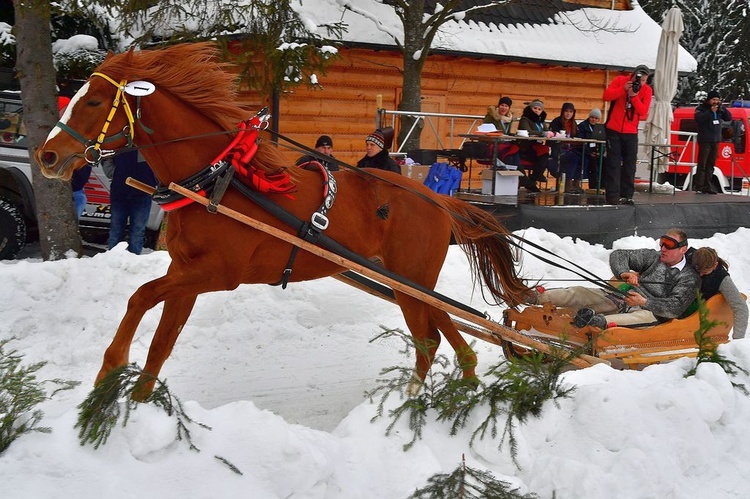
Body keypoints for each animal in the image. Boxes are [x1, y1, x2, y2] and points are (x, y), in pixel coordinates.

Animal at [33, 44, 528, 402]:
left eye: (95, 101)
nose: (47, 156)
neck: (219, 179)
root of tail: (437, 199)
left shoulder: (218, 274)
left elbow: (139, 296)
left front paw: (109, 367)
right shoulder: (186, 273)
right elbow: (160, 342)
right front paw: (133, 405)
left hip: (411, 279)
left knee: (431, 339)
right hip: (408, 280)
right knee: (445, 334)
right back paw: (454, 390)